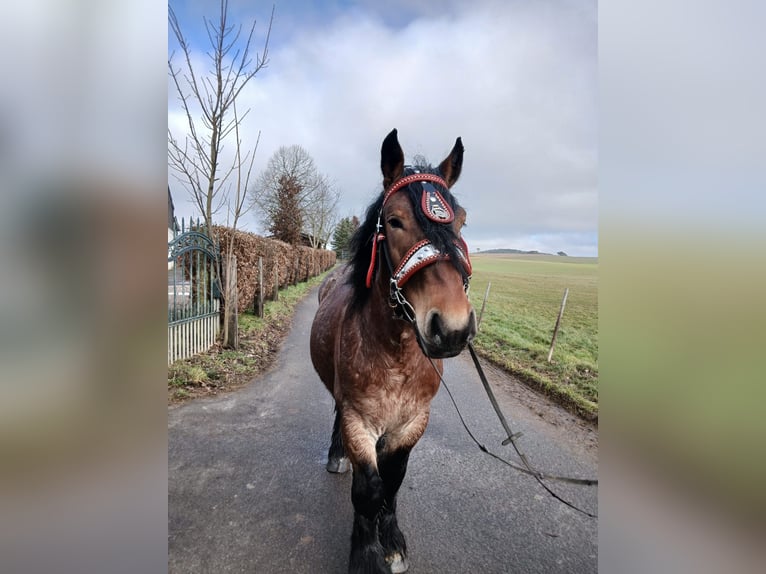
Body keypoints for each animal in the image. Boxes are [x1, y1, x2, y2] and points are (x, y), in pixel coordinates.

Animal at [310, 129, 477, 573]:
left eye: (461, 221)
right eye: (395, 220)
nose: (452, 327)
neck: (396, 355)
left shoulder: (412, 422)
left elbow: (392, 480)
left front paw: (392, 541)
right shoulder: (359, 419)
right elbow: (368, 489)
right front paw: (367, 554)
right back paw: (337, 455)